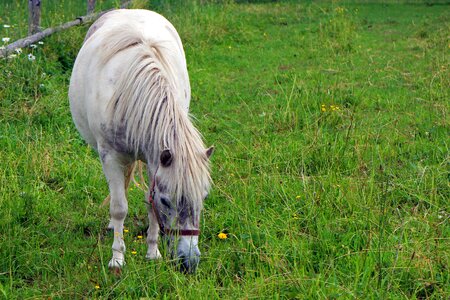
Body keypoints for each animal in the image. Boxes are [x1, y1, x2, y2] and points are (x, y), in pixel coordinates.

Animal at [68, 9, 213, 274]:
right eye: (166, 200)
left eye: (204, 196)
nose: (189, 262)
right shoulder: (110, 156)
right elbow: (119, 207)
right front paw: (117, 258)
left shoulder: (154, 158)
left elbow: (149, 204)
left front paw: (153, 252)